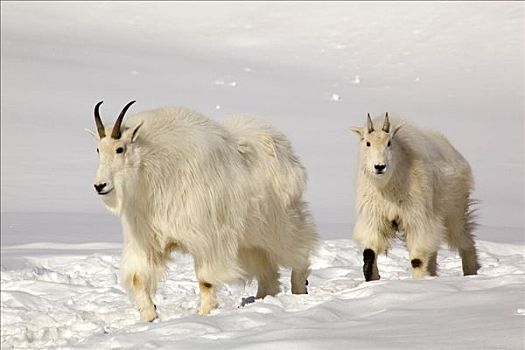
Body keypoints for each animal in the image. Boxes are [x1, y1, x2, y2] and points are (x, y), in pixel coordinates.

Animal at [88, 100, 318, 322]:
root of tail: (282, 149)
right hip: (249, 240)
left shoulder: (207, 240)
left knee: (299, 248)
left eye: (120, 149)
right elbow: (138, 278)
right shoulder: (148, 241)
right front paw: (149, 316)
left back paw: (299, 288)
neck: (154, 173)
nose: (100, 186)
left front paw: (206, 313)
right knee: (267, 271)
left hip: (279, 223)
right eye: (98, 150)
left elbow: (205, 280)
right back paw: (263, 299)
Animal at [350, 113, 476, 280]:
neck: (388, 187)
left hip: (454, 211)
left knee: (464, 239)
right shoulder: (375, 218)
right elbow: (369, 252)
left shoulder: (417, 218)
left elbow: (417, 259)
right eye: (367, 143)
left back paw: (471, 272)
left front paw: (418, 280)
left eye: (389, 142)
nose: (379, 167)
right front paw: (372, 277)